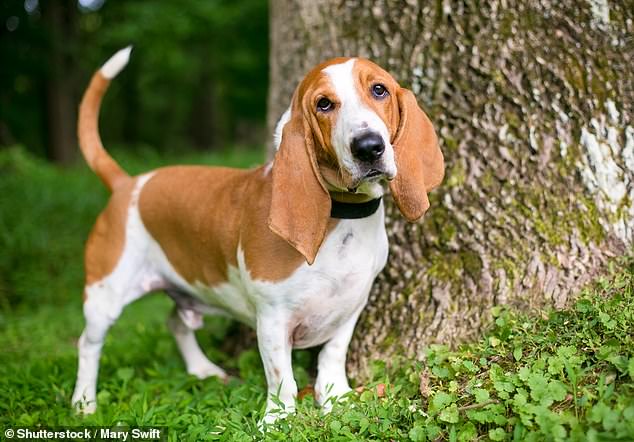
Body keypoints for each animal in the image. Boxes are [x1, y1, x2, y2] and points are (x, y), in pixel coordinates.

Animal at [69, 46, 442, 424]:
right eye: (324, 104)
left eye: (379, 90)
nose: (368, 147)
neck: (343, 216)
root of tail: (127, 184)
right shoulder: (273, 318)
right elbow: (282, 379)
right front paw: (277, 420)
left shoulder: (351, 308)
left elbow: (332, 357)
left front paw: (337, 397)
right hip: (105, 296)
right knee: (88, 344)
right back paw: (84, 402)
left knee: (176, 322)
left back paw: (203, 369)